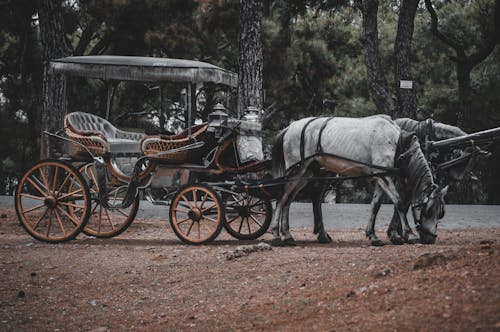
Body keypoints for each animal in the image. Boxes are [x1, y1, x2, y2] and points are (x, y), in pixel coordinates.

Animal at [272, 115, 448, 245]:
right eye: (429, 210)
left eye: (440, 213)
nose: (431, 238)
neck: (396, 142)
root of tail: (289, 127)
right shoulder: (383, 175)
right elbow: (398, 202)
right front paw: (409, 234)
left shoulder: (382, 175)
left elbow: (375, 205)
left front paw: (373, 235)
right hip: (296, 171)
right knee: (282, 199)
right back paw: (276, 235)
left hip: (306, 173)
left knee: (288, 200)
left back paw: (288, 235)